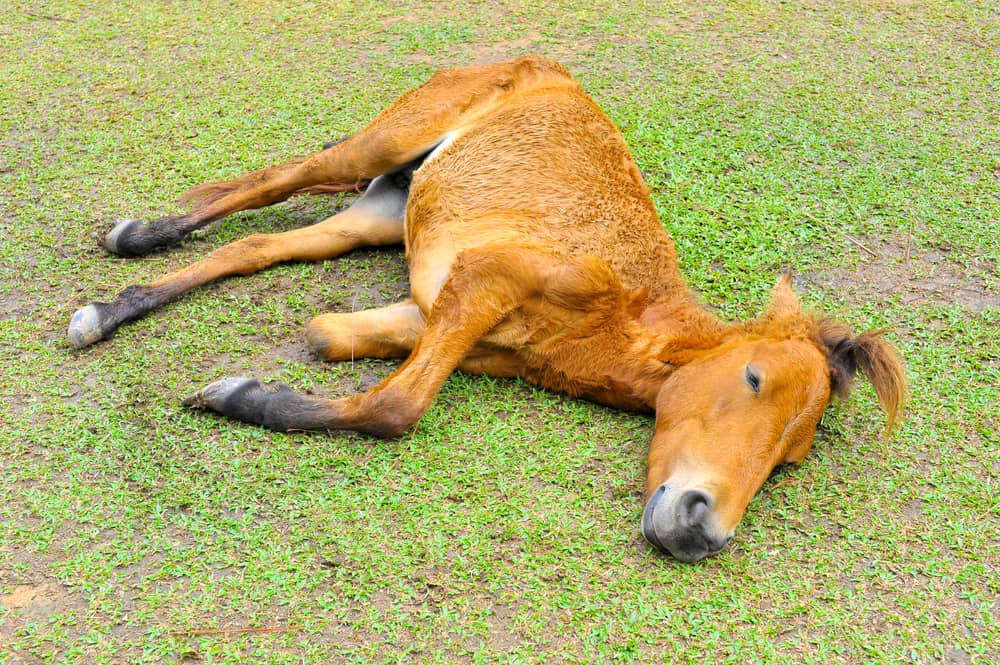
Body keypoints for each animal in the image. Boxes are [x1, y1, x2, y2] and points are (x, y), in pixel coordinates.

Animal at [66, 55, 904, 560]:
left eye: (789, 459)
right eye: (754, 378)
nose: (703, 529)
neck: (624, 317)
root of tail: (544, 66)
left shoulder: (429, 309)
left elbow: (332, 340)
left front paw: (253, 386)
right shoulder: (482, 278)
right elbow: (396, 406)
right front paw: (233, 394)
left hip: (382, 207)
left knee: (260, 243)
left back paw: (111, 307)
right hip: (378, 147)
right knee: (277, 180)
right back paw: (133, 241)